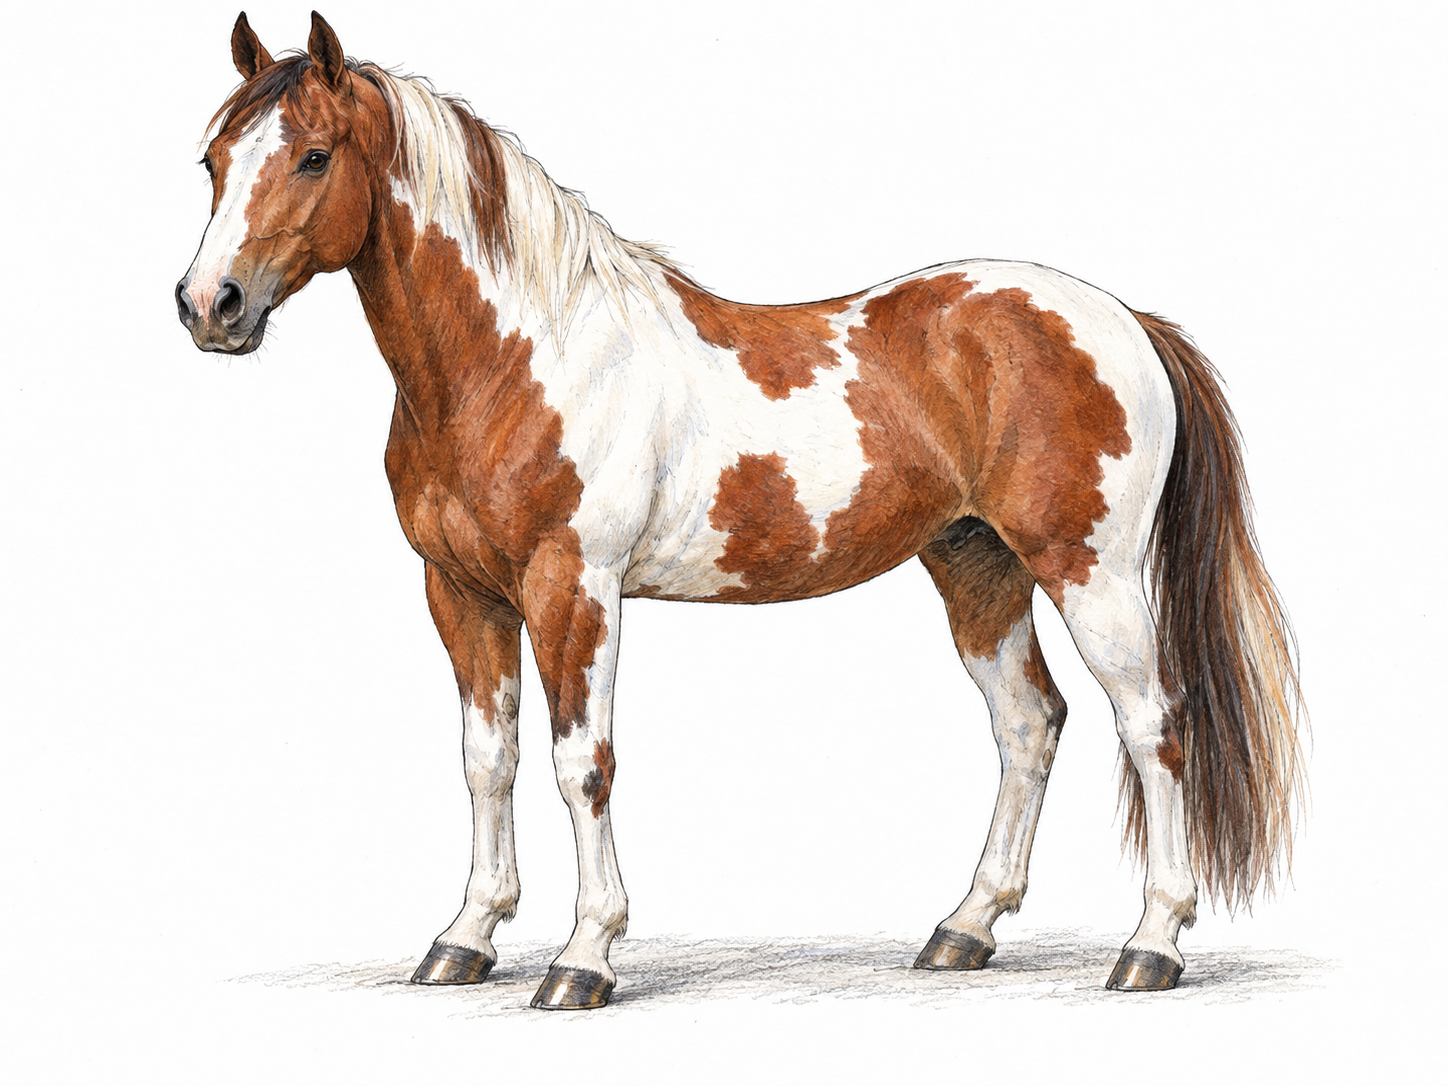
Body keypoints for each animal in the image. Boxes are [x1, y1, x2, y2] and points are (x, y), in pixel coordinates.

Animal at [176, 12, 1304, 1009]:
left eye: (314, 156)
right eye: (213, 160)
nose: (207, 306)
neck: (521, 357)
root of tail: (1122, 318)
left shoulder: (573, 589)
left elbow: (581, 765)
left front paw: (582, 959)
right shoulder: (459, 593)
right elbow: (485, 762)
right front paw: (464, 938)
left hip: (1088, 571)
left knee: (1151, 725)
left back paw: (1150, 947)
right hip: (976, 566)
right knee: (1030, 725)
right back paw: (964, 929)